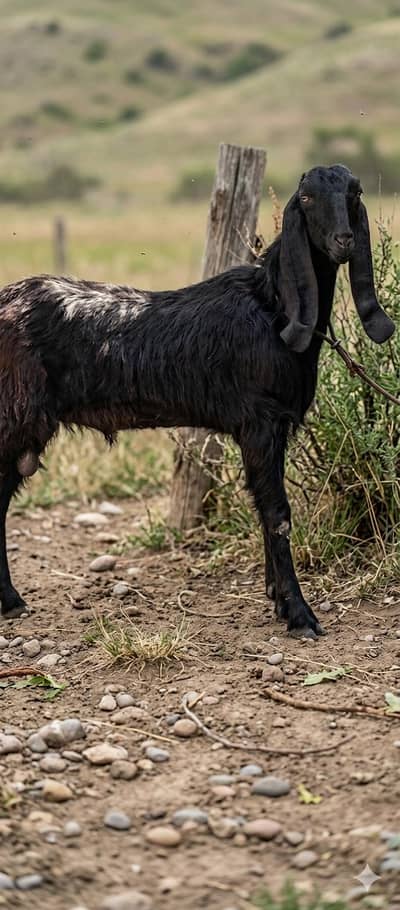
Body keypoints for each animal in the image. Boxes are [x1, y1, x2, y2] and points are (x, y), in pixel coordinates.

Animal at [0, 164, 394, 637]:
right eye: (307, 198)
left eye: (355, 193)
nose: (343, 240)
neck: (272, 307)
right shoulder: (260, 422)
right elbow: (277, 512)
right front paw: (300, 614)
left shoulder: (267, 429)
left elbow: (263, 507)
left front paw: (277, 599)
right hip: (14, 419)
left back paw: (10, 601)